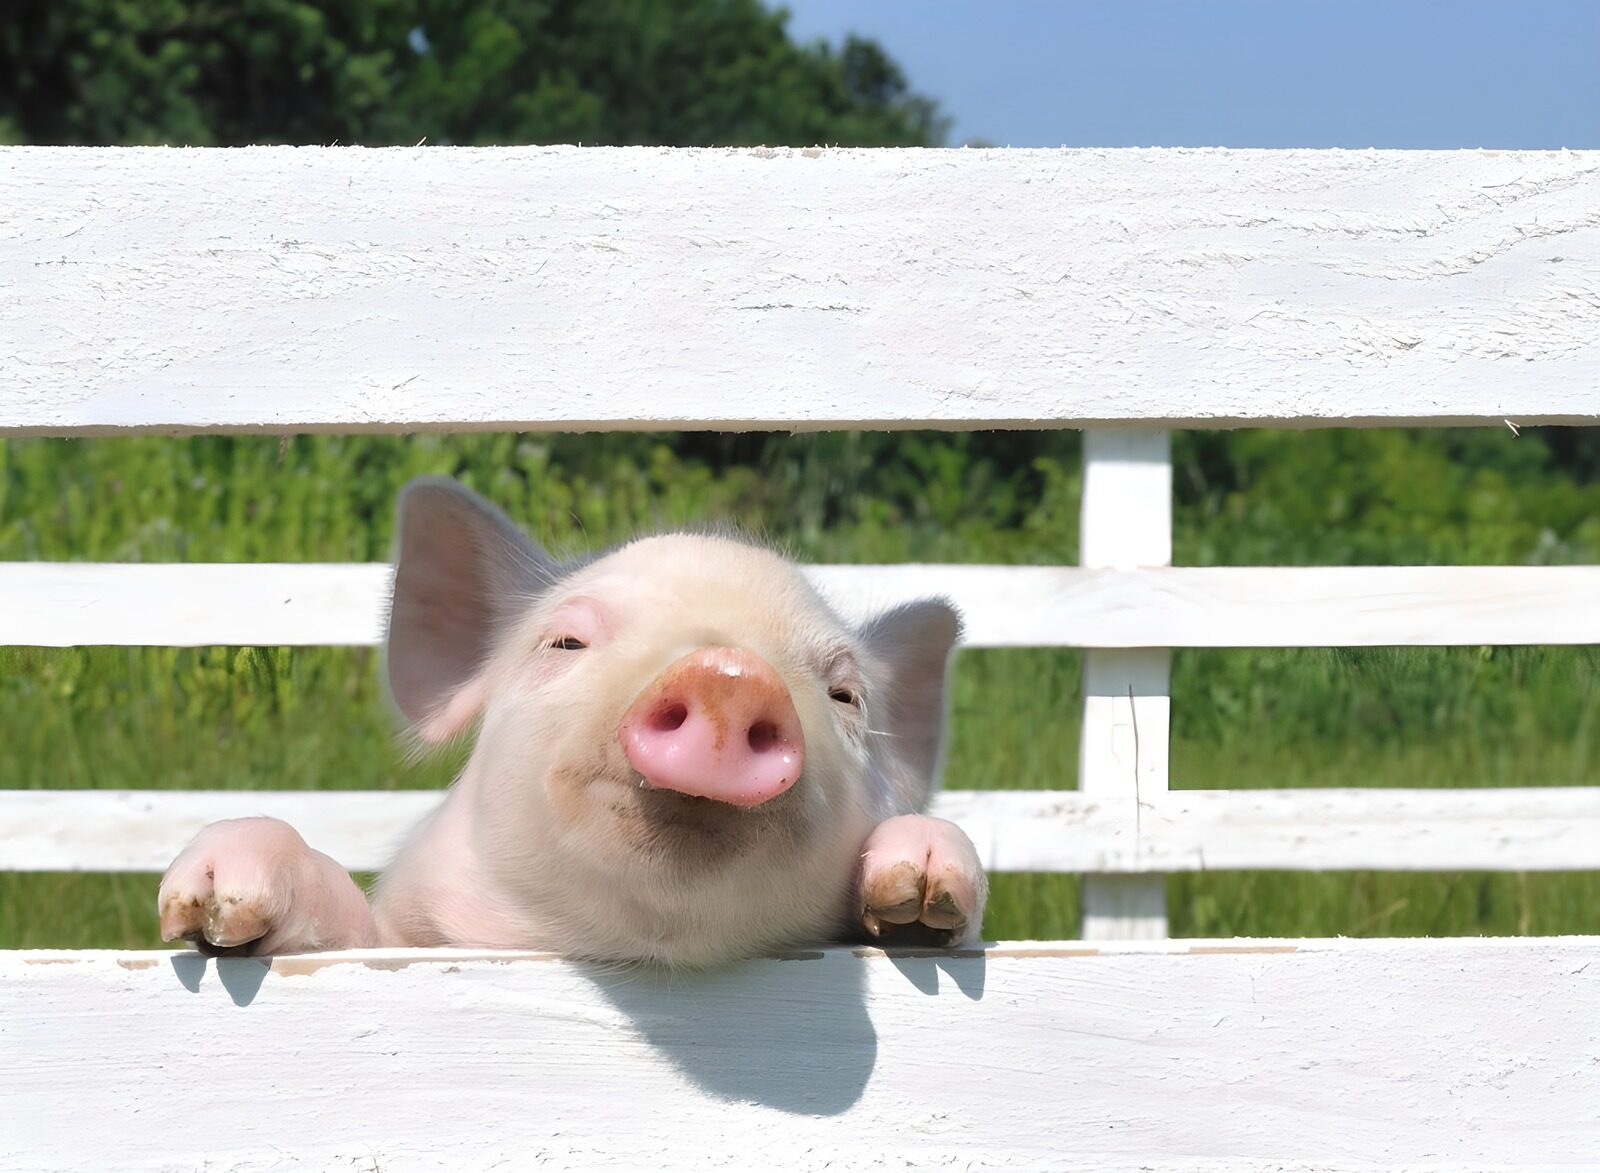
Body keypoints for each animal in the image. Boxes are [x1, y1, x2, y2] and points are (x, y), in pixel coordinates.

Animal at [157, 477, 987, 967]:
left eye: (845, 695)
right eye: (565, 642)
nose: (728, 671)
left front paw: (923, 886)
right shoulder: (401, 935)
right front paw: (212, 899)